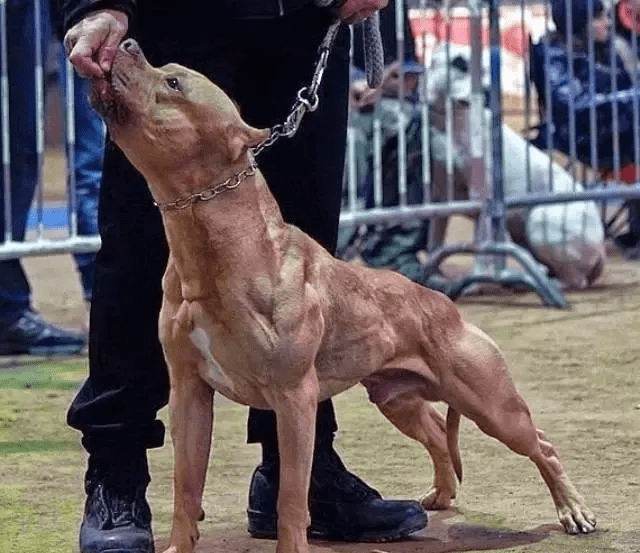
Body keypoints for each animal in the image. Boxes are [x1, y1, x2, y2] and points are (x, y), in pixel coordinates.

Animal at [424, 43, 604, 288]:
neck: (450, 123)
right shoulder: (440, 199)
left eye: (488, 69)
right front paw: (432, 276)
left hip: (541, 220)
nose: (488, 91)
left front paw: (475, 283)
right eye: (460, 63)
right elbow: (435, 242)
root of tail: (602, 250)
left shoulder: (483, 201)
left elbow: (481, 249)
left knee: (575, 280)